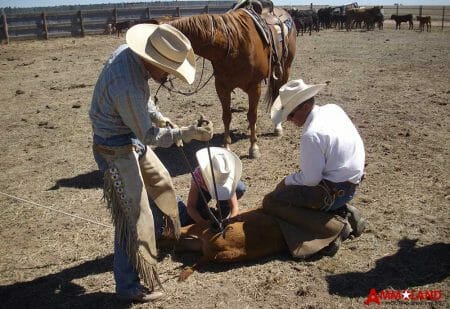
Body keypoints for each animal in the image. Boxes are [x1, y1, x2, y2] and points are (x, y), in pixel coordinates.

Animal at [167, 8, 298, 158]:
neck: (234, 44)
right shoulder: (222, 87)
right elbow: (227, 116)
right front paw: (227, 146)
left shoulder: (255, 86)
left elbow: (252, 115)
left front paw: (254, 148)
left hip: (285, 69)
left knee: (277, 94)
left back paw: (277, 127)